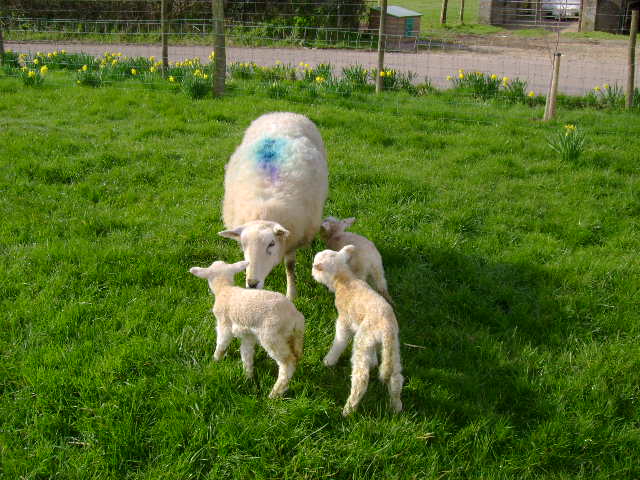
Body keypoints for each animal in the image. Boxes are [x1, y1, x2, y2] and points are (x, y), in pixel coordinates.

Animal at [190, 258, 304, 398]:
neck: (224, 289)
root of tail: (295, 316)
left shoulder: (224, 325)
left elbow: (222, 343)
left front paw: (215, 359)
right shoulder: (248, 335)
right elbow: (246, 353)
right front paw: (248, 376)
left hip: (272, 336)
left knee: (288, 362)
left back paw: (275, 393)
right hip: (294, 336)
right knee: (296, 356)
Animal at [220, 112, 330, 300]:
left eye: (271, 244)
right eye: (243, 245)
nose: (252, 283)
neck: (263, 213)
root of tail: (283, 113)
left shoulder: (293, 238)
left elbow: (290, 266)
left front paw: (291, 294)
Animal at [312, 246, 402, 414]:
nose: (312, 272)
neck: (344, 279)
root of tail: (386, 328)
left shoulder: (344, 321)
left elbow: (340, 340)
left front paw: (329, 361)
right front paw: (373, 362)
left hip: (362, 341)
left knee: (361, 379)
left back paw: (348, 409)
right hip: (392, 346)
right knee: (395, 376)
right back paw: (396, 406)